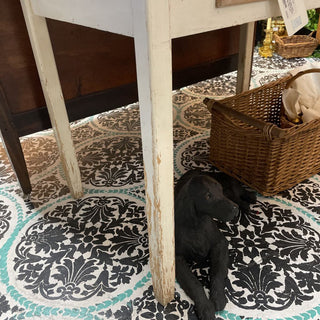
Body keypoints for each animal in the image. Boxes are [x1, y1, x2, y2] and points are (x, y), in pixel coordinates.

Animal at [174, 171, 256, 320]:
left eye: (220, 191)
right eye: (208, 196)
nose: (234, 209)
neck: (196, 226)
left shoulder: (220, 243)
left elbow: (218, 272)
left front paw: (218, 297)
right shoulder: (177, 258)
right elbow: (194, 283)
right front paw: (205, 307)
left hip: (231, 192)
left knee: (239, 193)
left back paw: (248, 200)